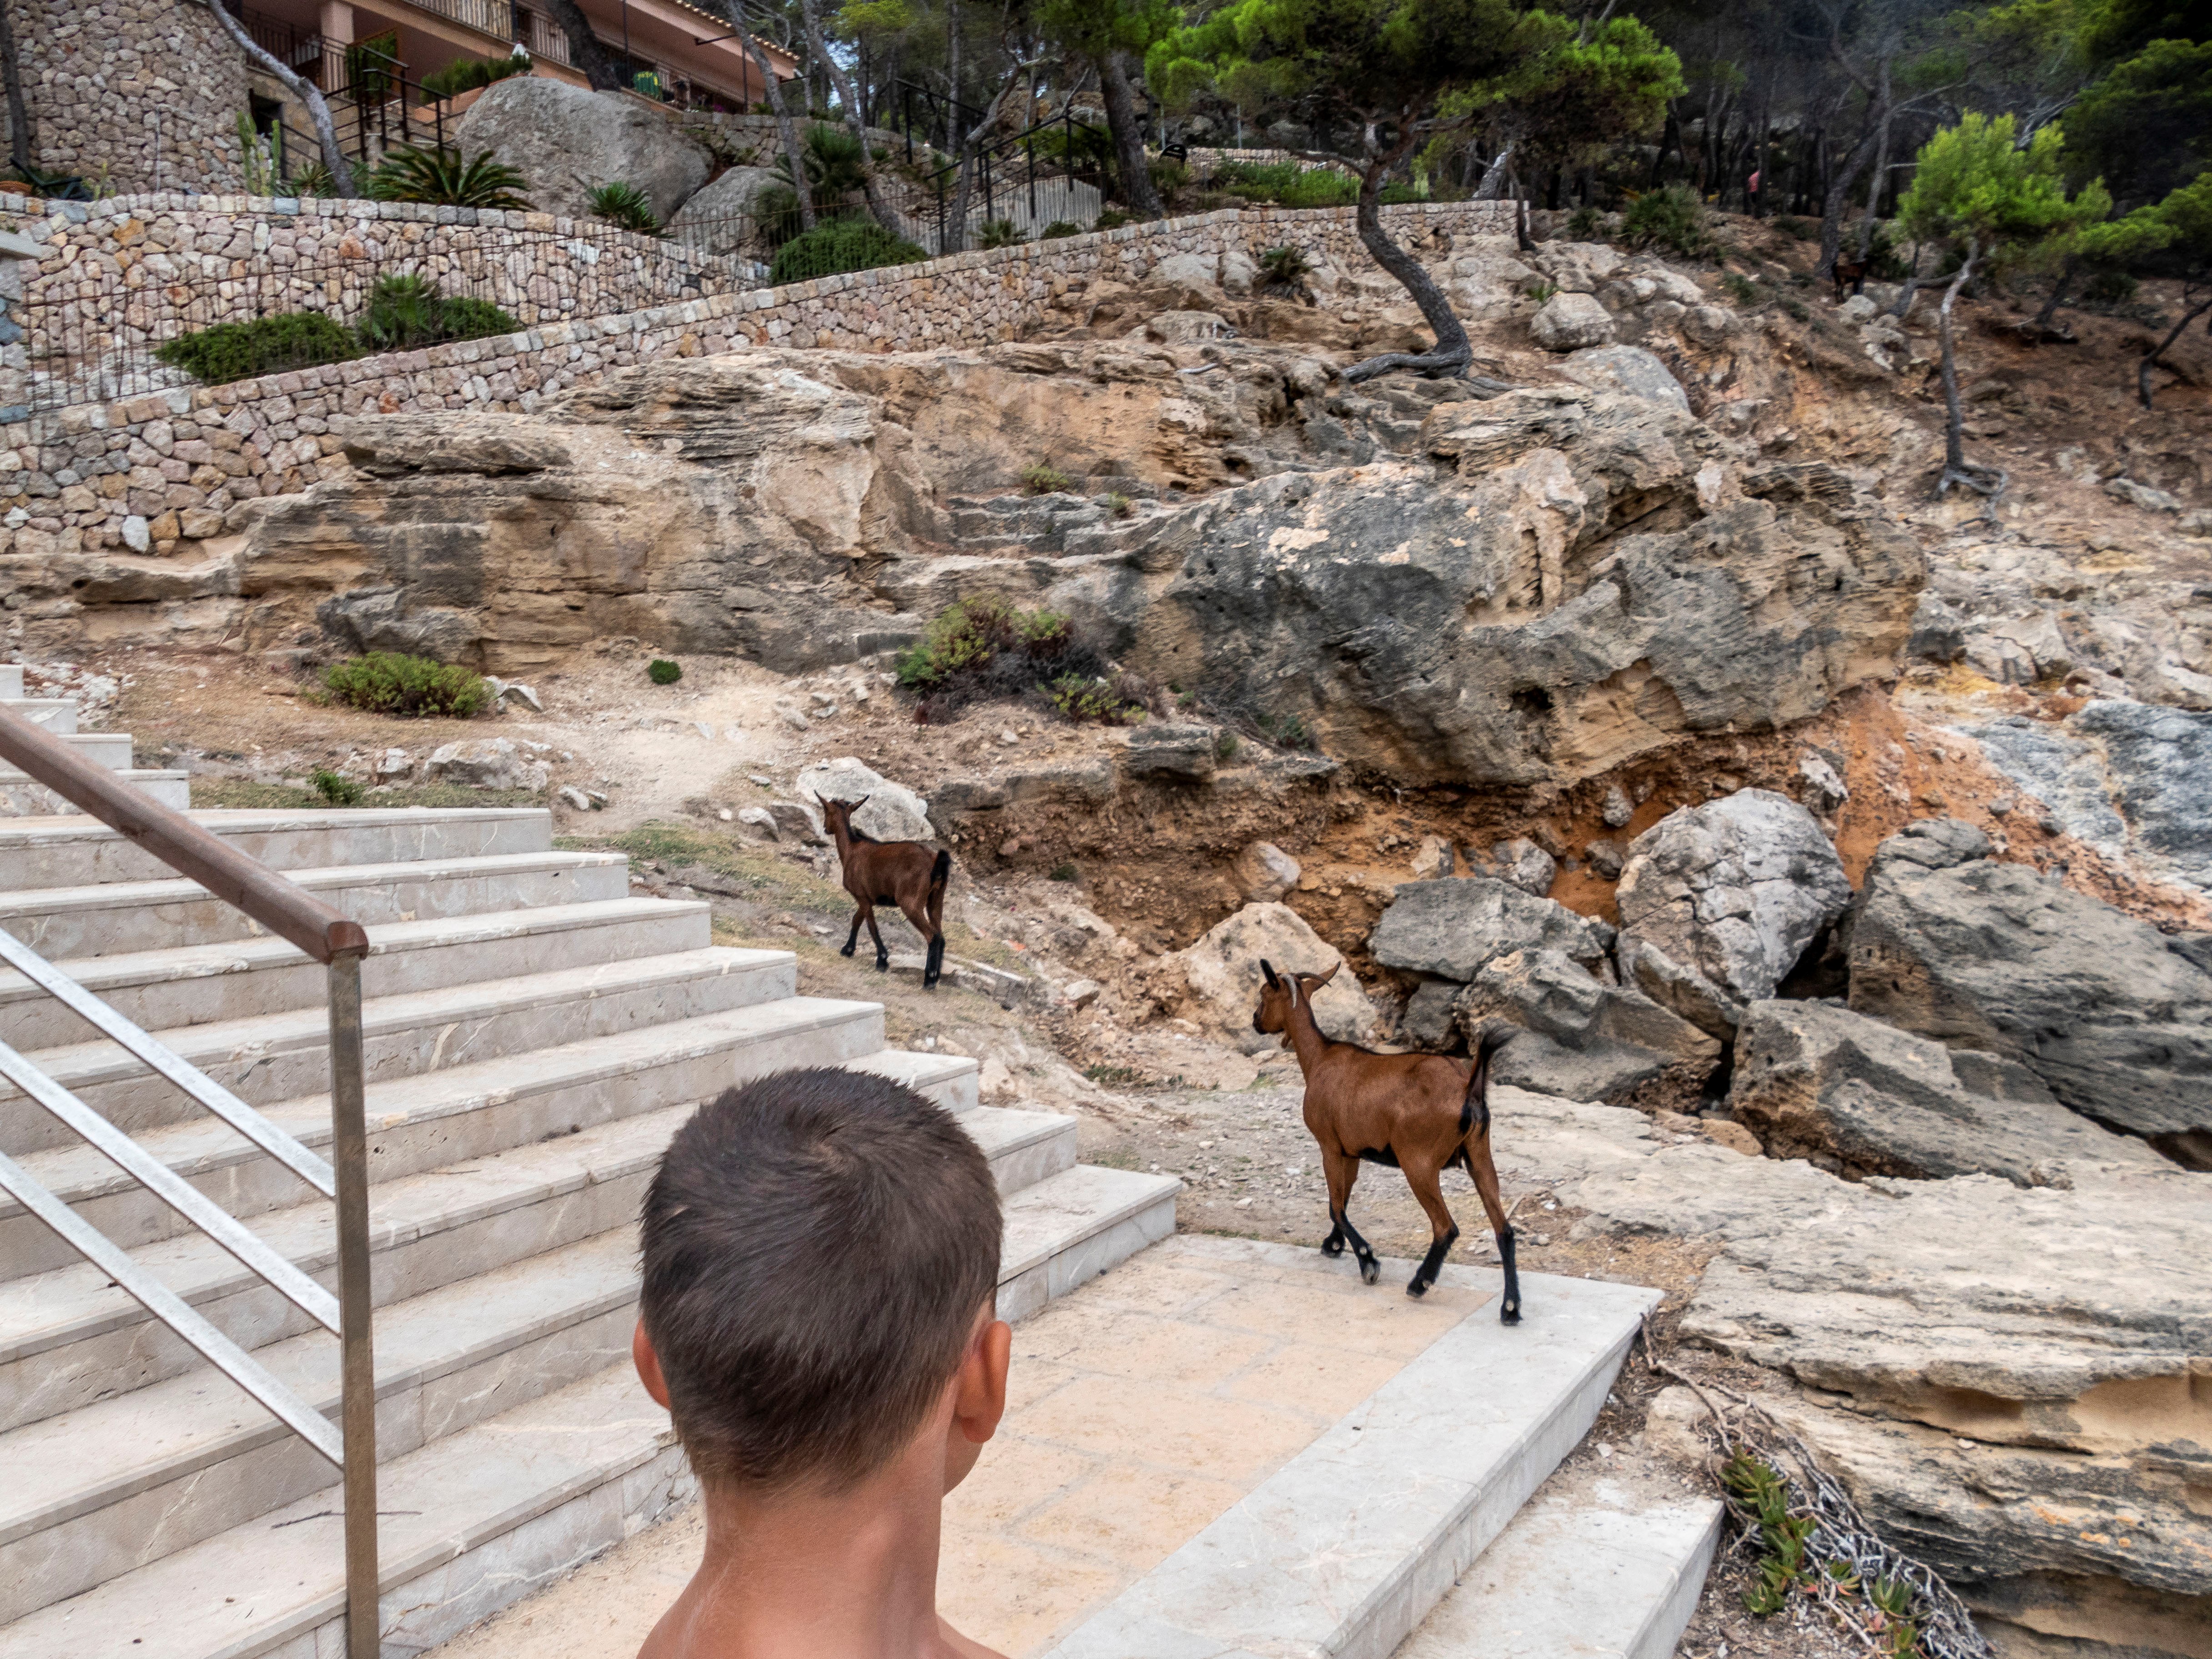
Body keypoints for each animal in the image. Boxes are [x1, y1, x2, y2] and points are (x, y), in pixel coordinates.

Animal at [818, 800, 946, 995]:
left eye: (826, 810)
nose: (826, 828)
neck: (852, 849)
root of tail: (934, 862)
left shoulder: (862, 897)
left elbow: (871, 926)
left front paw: (882, 961)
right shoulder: (866, 898)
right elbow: (857, 920)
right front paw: (848, 950)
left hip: (911, 903)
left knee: (932, 936)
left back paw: (929, 980)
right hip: (936, 900)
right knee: (941, 936)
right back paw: (936, 977)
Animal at [1265, 960, 1522, 1327]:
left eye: (1263, 995)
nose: (1256, 1021)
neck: (1319, 1058)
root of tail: (1467, 1089)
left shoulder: (1329, 1145)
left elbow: (1335, 1205)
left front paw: (1367, 1261)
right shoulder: (1352, 1151)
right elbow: (1342, 1199)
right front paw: (1334, 1245)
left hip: (1419, 1162)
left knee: (1445, 1227)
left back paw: (1419, 1284)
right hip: (1479, 1154)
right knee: (1505, 1230)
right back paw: (1511, 1308)